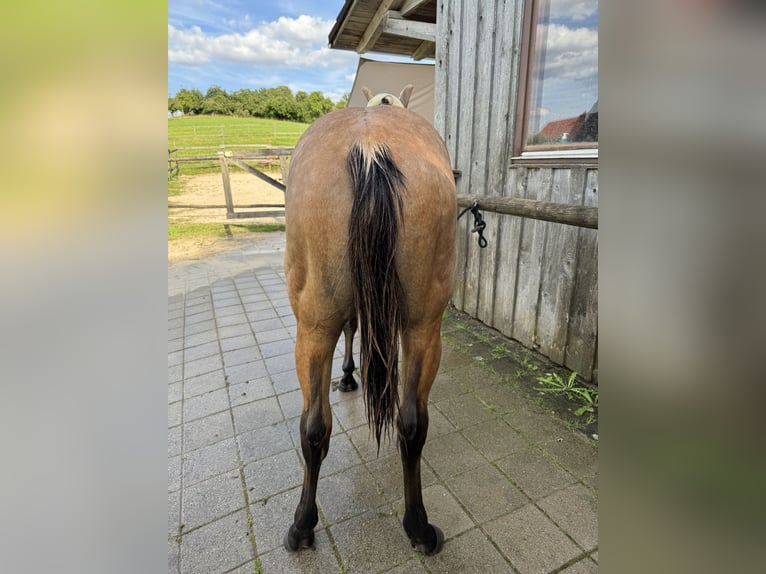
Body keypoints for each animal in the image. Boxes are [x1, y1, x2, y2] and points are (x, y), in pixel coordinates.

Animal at [284, 103, 460, 560]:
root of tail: (370, 148)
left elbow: (352, 328)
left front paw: (347, 375)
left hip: (314, 326)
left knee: (314, 425)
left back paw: (301, 525)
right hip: (421, 327)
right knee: (409, 424)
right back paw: (418, 528)